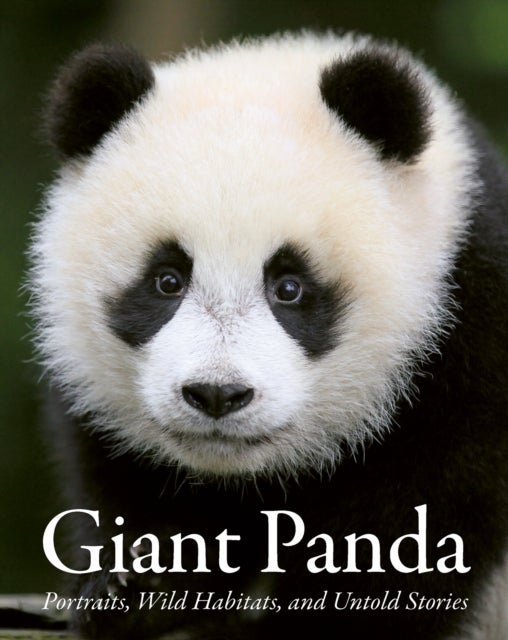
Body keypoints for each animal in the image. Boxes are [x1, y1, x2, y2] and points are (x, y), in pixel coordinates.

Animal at [29, 32, 508, 640]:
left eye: (289, 287)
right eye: (167, 280)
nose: (217, 395)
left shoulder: (470, 320)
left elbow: (428, 513)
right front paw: (135, 586)